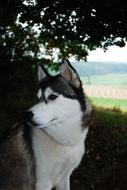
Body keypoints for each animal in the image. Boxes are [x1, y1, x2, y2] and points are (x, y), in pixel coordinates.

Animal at [0, 58, 93, 189]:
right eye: (37, 98)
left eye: (52, 96)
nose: (26, 115)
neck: (63, 141)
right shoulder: (43, 182)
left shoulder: (64, 178)